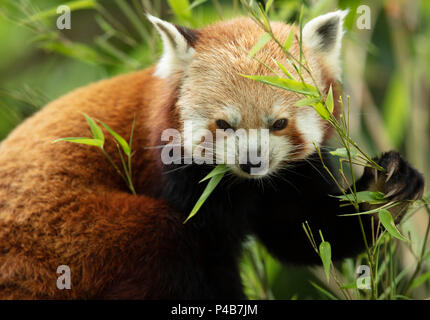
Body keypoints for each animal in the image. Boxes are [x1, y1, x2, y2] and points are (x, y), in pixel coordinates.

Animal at [0, 10, 424, 300]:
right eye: (224, 124)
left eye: (279, 123)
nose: (252, 162)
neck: (242, 186)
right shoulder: (178, 178)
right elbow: (210, 258)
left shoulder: (291, 176)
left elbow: (305, 233)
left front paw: (387, 187)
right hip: (65, 238)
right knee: (159, 236)